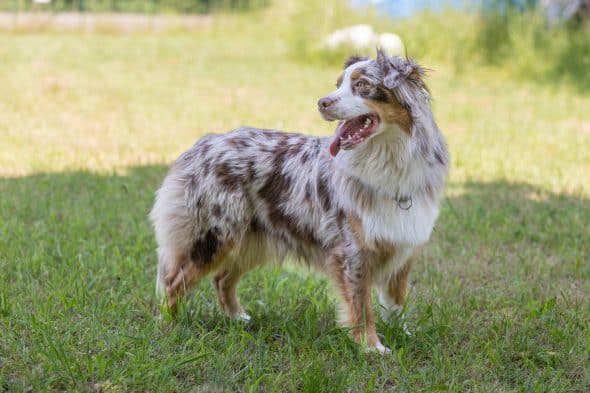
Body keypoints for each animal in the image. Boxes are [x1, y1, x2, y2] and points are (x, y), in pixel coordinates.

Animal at [150, 49, 450, 352]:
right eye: (338, 84)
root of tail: (204, 143)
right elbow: (361, 306)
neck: (389, 159)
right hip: (215, 237)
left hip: (251, 240)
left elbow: (396, 303)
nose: (322, 102)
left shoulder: (402, 248)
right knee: (173, 282)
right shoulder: (353, 253)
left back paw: (238, 319)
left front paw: (402, 336)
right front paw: (371, 347)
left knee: (221, 279)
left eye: (362, 84)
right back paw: (170, 325)